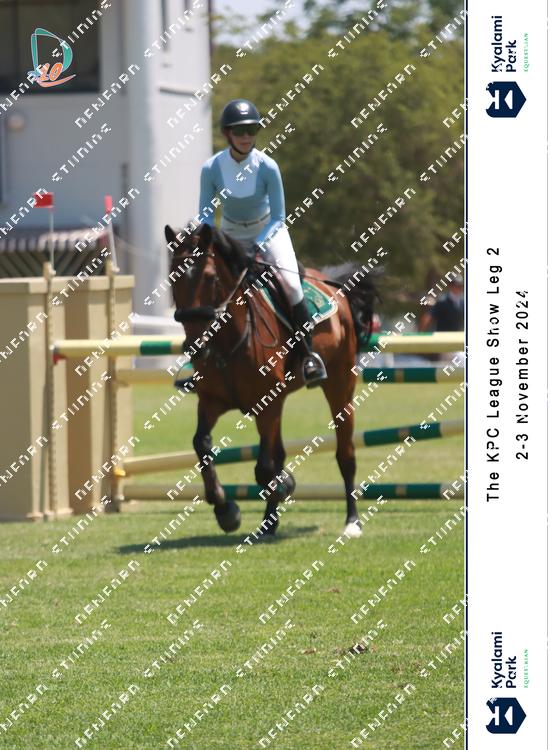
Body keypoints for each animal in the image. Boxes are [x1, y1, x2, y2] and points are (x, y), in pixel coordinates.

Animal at [165, 222, 379, 540]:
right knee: (277, 453)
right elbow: (202, 445)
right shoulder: (212, 401)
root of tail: (333, 286)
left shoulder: (267, 403)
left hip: (340, 385)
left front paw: (284, 484)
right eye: (172, 279)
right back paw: (268, 523)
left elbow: (265, 467)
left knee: (345, 454)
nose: (196, 348)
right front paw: (226, 510)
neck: (226, 343)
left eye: (210, 278)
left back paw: (352, 521)